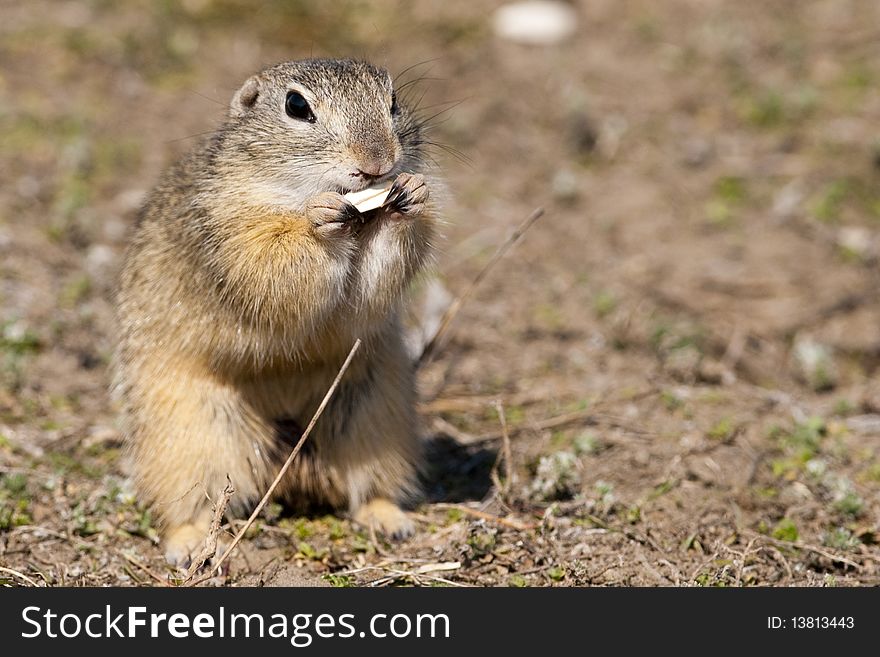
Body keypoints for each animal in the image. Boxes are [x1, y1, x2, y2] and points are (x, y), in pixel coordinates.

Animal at [115, 59, 440, 568]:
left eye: (392, 100)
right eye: (296, 106)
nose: (378, 164)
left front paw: (412, 194)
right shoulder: (231, 230)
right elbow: (273, 261)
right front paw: (320, 218)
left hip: (376, 416)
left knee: (367, 487)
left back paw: (391, 520)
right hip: (188, 436)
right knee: (187, 503)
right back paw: (189, 546)